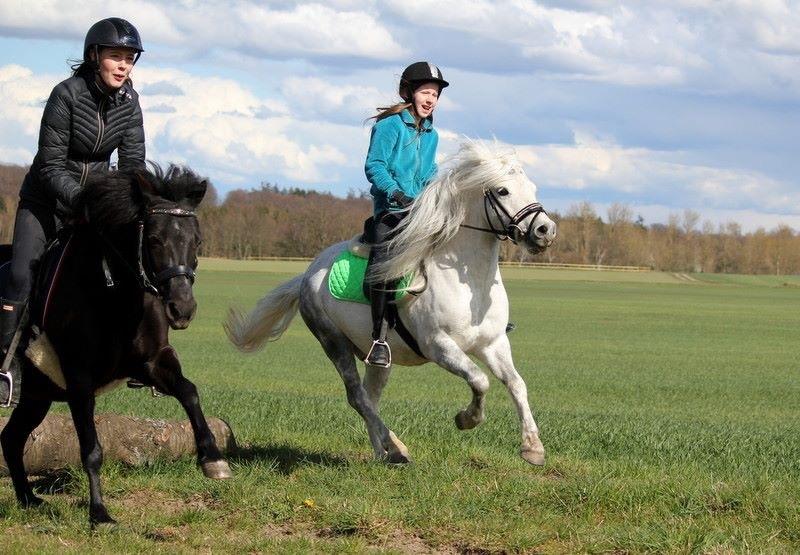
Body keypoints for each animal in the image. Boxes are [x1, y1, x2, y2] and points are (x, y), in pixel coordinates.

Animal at [0, 164, 231, 524]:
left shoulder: (151, 362)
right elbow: (91, 448)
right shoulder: (79, 377)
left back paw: (28, 499)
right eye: (154, 239)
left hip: (37, 396)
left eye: (197, 241)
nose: (182, 309)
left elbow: (189, 391)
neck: (115, 293)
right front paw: (100, 514)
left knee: (11, 438)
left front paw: (213, 459)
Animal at [227, 142, 556, 464]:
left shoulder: (493, 343)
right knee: (357, 397)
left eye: (533, 187)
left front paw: (533, 447)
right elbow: (480, 380)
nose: (545, 231)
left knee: (369, 398)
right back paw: (396, 447)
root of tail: (308, 273)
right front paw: (467, 419)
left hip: (377, 357)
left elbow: (516, 383)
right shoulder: (439, 345)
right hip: (334, 342)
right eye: (503, 191)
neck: (469, 281)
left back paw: (381, 453)